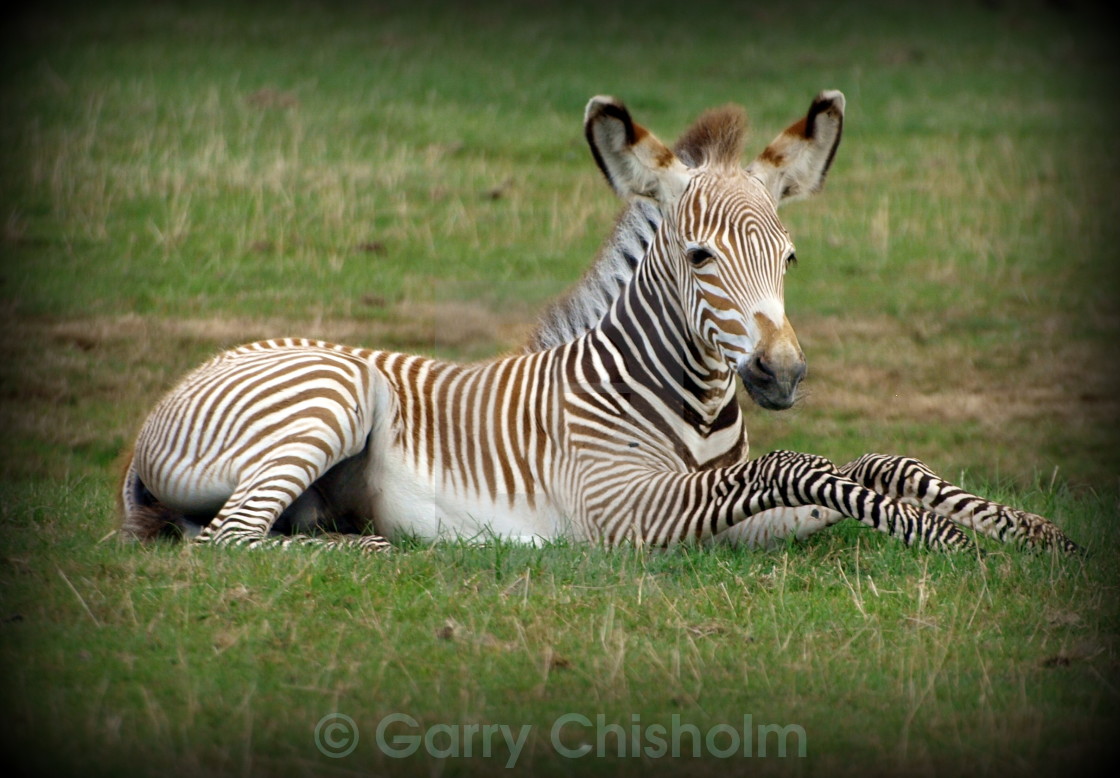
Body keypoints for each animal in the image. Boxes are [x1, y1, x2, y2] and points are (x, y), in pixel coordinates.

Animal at [118, 92, 1079, 552]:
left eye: (791, 258)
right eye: (700, 258)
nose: (782, 374)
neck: (688, 409)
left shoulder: (741, 517)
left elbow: (869, 466)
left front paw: (1028, 530)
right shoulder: (624, 515)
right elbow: (804, 464)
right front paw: (949, 536)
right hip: (331, 394)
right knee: (228, 540)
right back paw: (380, 550)